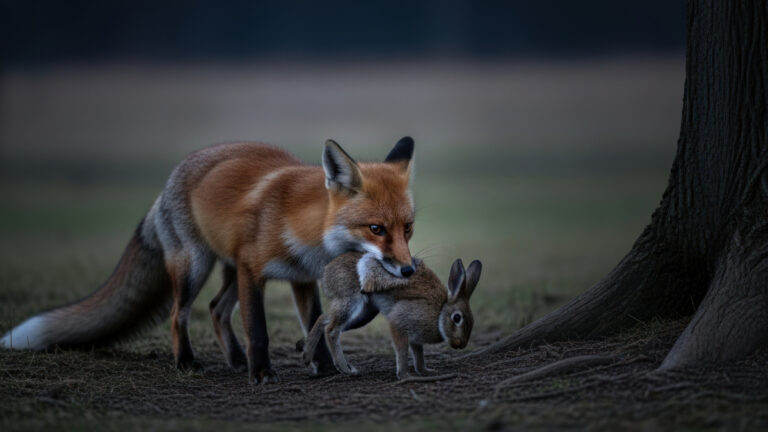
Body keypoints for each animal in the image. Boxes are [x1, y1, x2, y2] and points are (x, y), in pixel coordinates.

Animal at [0, 137, 416, 384]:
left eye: (408, 228)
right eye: (376, 229)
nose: (409, 269)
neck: (305, 230)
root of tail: (166, 186)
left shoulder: (302, 278)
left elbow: (315, 322)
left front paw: (325, 368)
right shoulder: (253, 271)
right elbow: (258, 330)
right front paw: (262, 374)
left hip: (226, 270)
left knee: (216, 308)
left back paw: (234, 359)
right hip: (195, 267)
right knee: (178, 314)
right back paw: (187, 362)